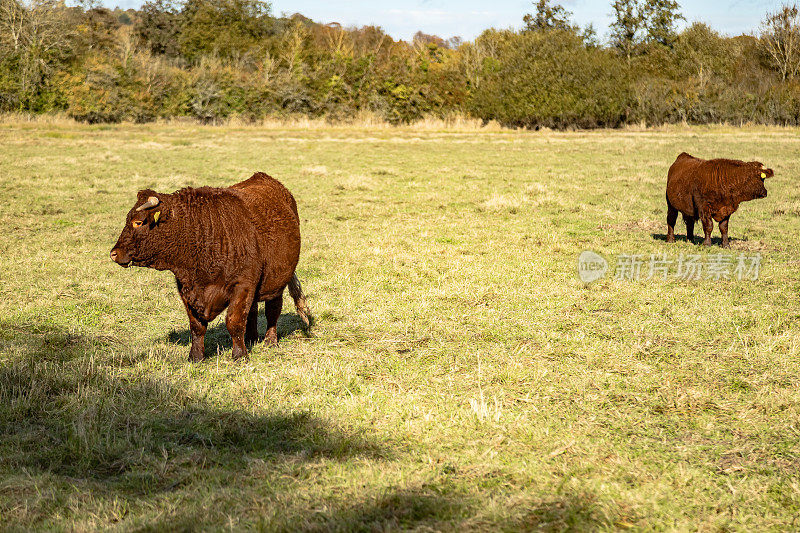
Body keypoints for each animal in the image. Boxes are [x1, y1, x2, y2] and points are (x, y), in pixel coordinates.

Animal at [111, 174, 310, 362]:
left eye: (138, 222)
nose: (114, 253)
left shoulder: (242, 284)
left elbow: (234, 321)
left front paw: (239, 355)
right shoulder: (186, 290)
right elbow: (197, 327)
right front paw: (196, 356)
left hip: (278, 281)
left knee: (272, 310)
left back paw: (270, 341)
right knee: (253, 311)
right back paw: (252, 338)